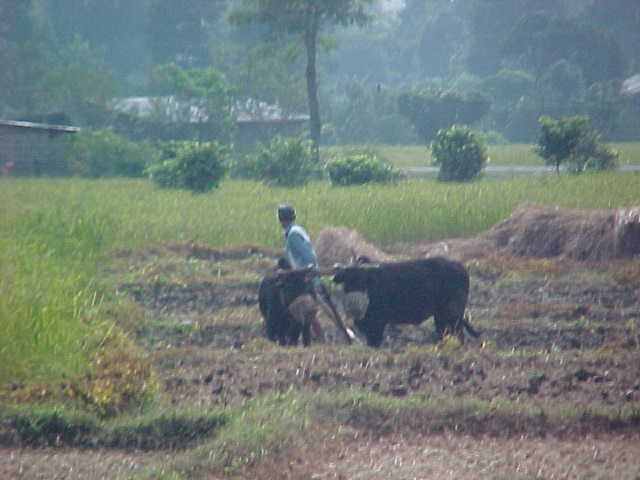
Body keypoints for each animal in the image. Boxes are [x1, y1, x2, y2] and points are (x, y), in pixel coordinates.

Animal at [332, 256, 478, 346]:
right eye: (347, 277)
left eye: (361, 276)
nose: (352, 289)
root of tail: (460, 267)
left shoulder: (377, 323)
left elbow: (375, 342)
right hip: (441, 316)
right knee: (444, 333)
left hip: (453, 314)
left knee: (458, 334)